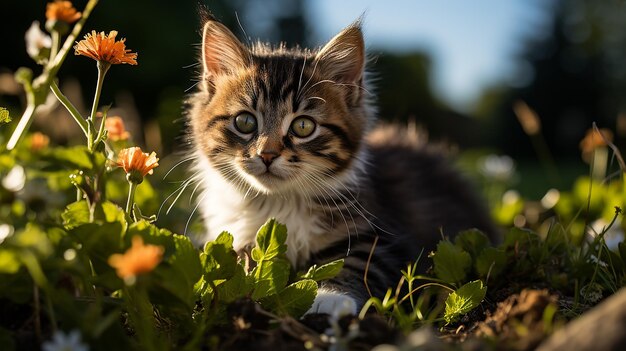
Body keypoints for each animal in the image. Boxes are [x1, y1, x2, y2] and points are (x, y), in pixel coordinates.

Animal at [188, 17, 494, 314]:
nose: (267, 154)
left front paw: (329, 296)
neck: (278, 203)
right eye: (245, 122)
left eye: (303, 126)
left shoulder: (384, 238)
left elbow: (355, 263)